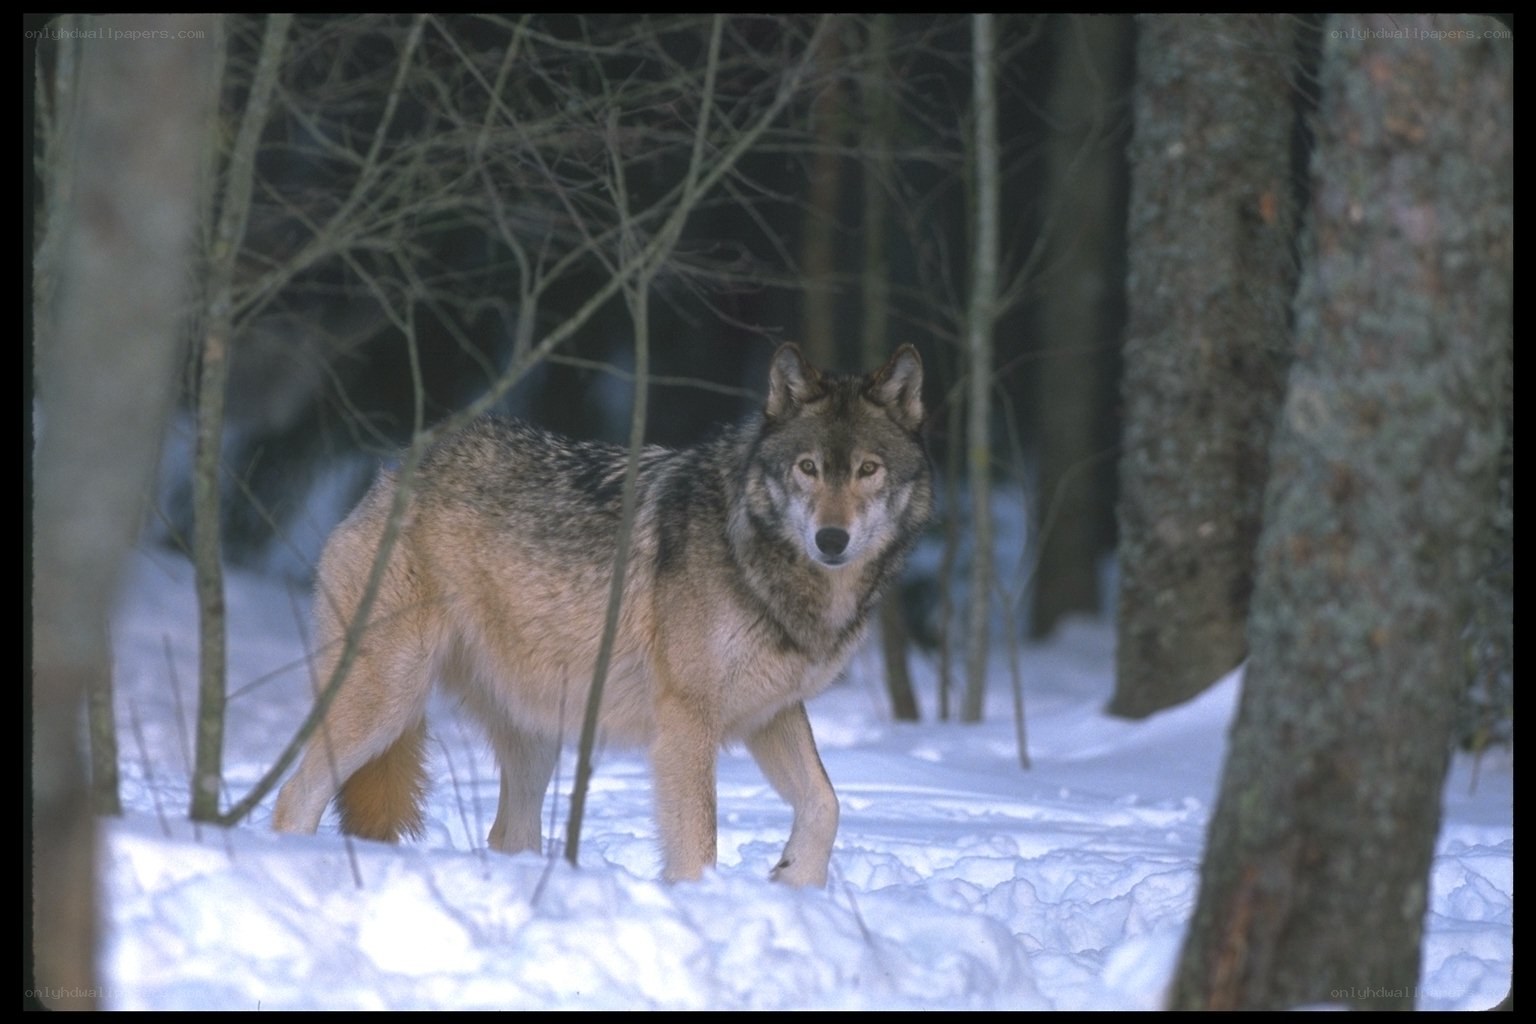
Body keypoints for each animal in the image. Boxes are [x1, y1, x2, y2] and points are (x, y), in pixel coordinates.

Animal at [272, 343, 932, 885]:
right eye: (808, 468)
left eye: (868, 469)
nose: (831, 540)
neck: (755, 553)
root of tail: (392, 474)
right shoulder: (687, 723)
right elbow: (699, 844)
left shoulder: (770, 713)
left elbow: (826, 804)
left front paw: (796, 881)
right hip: (388, 700)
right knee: (292, 798)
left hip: (536, 735)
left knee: (507, 836)